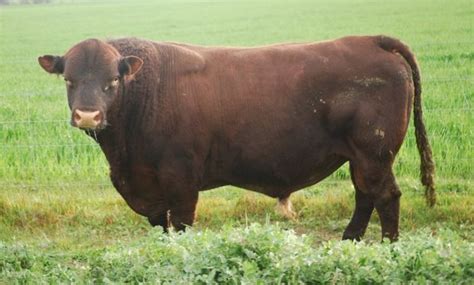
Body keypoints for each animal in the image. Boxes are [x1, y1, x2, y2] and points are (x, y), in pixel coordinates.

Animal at [39, 35, 436, 240]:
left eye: (113, 80)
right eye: (69, 79)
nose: (87, 115)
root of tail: (369, 41)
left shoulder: (180, 180)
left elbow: (181, 225)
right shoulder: (149, 188)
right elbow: (161, 226)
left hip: (374, 152)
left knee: (385, 196)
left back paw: (386, 247)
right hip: (360, 157)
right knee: (365, 194)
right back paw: (350, 240)